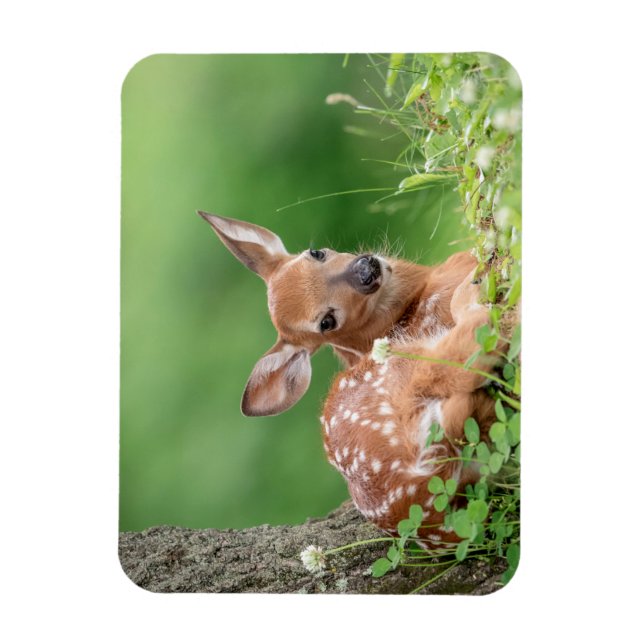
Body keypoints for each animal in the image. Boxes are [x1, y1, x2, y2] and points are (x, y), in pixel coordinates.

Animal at [198, 211, 501, 544]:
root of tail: (417, 470)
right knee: (469, 346)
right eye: (326, 322)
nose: (365, 269)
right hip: (407, 366)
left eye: (316, 252)